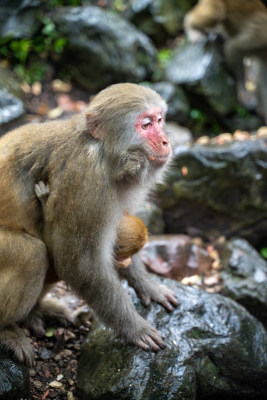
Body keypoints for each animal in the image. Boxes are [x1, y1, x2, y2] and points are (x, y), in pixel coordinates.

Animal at [0, 83, 178, 368]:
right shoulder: (86, 185)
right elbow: (81, 265)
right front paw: (133, 328)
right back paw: (6, 329)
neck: (105, 155)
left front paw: (147, 285)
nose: (165, 141)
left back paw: (39, 311)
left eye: (160, 120)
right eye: (146, 124)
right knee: (33, 255)